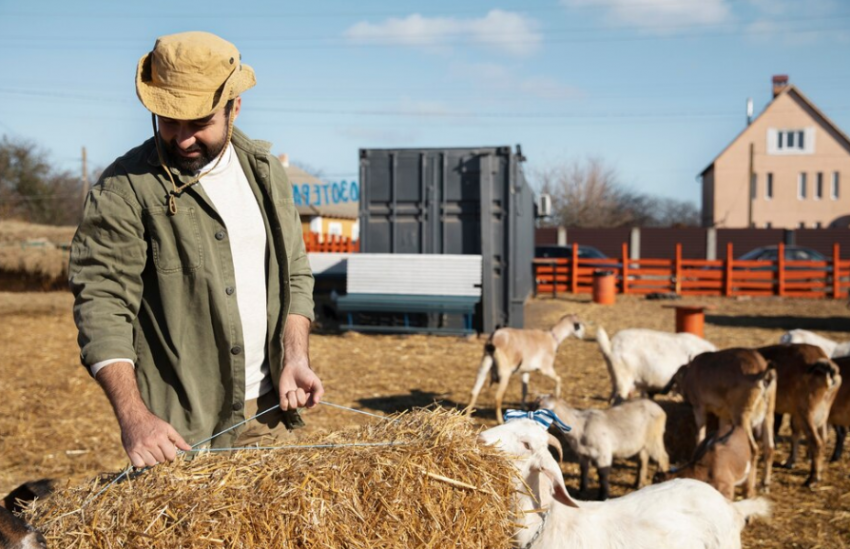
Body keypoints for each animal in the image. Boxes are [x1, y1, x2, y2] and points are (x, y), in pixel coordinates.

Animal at [532, 394, 664, 500]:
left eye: (539, 409)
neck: (579, 426)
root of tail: (658, 408)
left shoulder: (603, 453)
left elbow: (602, 475)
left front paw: (603, 496)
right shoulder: (583, 454)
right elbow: (583, 470)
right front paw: (582, 491)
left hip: (654, 438)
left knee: (663, 458)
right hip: (643, 443)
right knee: (643, 460)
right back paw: (638, 483)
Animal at [664, 348, 780, 494]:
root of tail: (762, 372)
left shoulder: (699, 407)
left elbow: (700, 435)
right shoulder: (724, 415)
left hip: (742, 416)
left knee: (754, 449)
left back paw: (748, 487)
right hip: (769, 414)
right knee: (769, 447)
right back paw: (765, 484)